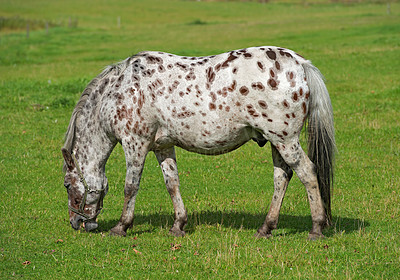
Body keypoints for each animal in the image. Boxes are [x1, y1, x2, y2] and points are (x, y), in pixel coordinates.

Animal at [62, 47, 336, 240]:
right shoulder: (162, 146)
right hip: (276, 142)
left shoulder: (135, 144)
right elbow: (172, 184)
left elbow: (131, 187)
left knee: (308, 173)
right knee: (282, 178)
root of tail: (299, 64)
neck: (119, 90)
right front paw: (178, 225)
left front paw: (121, 226)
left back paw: (316, 228)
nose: (76, 223)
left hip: (285, 140)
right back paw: (266, 228)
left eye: (67, 186)